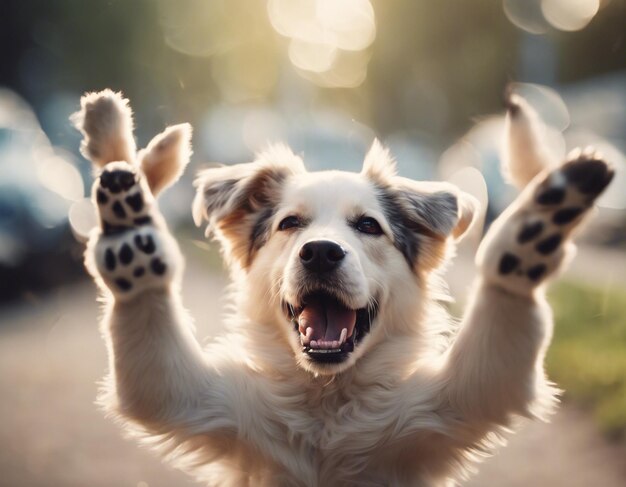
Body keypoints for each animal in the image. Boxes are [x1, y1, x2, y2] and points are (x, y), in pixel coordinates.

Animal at [74, 89, 616, 486]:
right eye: (291, 223)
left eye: (369, 226)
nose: (320, 252)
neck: (326, 407)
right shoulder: (193, 397)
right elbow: (148, 329)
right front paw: (132, 242)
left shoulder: (459, 399)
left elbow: (501, 313)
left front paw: (530, 235)